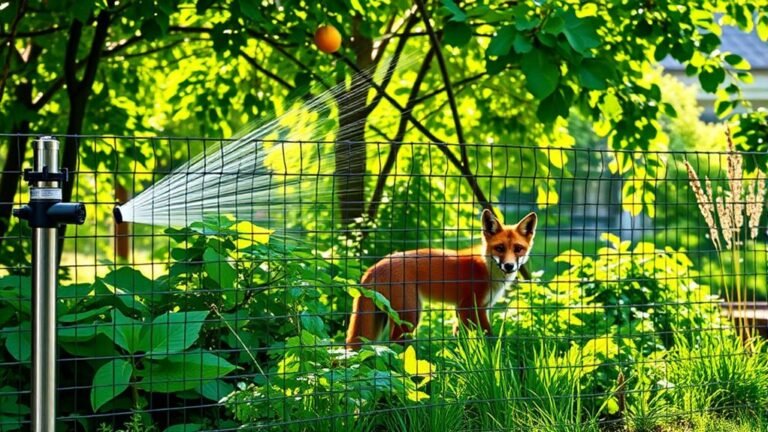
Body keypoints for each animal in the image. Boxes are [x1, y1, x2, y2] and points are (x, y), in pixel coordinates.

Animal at [345, 209, 537, 349]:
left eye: (518, 249)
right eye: (500, 248)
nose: (509, 266)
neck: (487, 268)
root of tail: (375, 266)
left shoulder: (474, 308)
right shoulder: (469, 307)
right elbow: (488, 337)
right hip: (410, 316)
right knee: (394, 344)